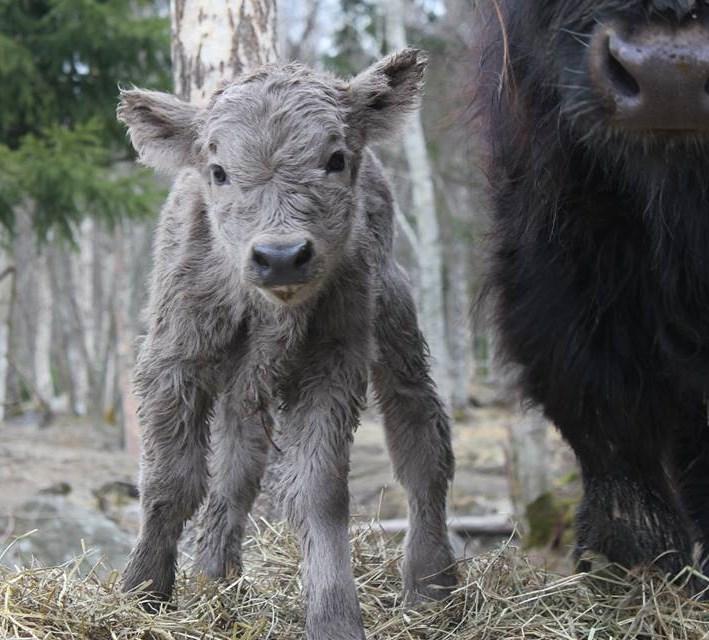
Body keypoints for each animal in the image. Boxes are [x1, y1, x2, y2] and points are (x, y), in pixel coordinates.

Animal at [117, 50, 454, 640]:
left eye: (335, 159)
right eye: (219, 171)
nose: (280, 256)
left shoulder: (332, 366)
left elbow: (320, 491)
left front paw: (334, 617)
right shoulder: (174, 361)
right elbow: (170, 480)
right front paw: (142, 592)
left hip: (395, 325)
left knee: (421, 440)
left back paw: (432, 585)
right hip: (242, 382)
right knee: (237, 469)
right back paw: (216, 579)